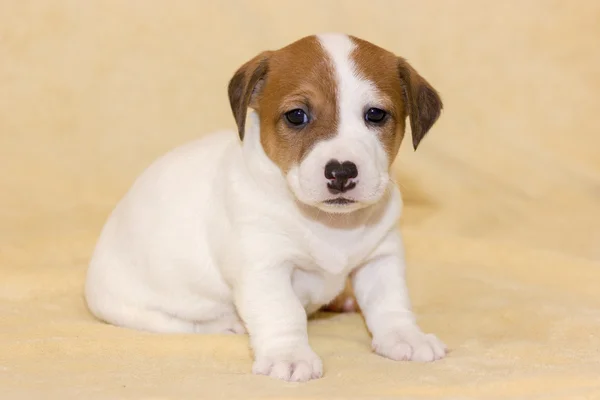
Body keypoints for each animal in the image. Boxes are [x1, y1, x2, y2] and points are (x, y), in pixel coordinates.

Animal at [86, 33, 448, 382]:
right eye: (297, 116)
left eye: (375, 114)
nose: (342, 172)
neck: (329, 224)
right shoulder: (264, 267)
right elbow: (283, 312)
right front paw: (289, 356)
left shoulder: (381, 257)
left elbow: (390, 302)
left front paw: (405, 336)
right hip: (140, 311)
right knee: (183, 323)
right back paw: (226, 323)